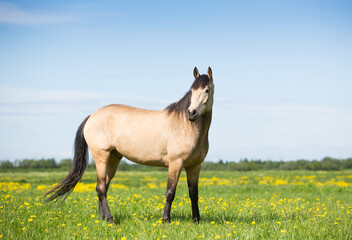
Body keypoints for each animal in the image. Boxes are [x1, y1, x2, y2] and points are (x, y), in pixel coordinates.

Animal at [44, 66, 214, 223]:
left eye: (207, 90)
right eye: (192, 90)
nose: (191, 113)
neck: (185, 126)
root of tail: (92, 116)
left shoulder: (194, 166)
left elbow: (194, 194)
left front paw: (196, 220)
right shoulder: (175, 163)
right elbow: (170, 192)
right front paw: (166, 220)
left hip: (113, 159)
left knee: (104, 186)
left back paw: (102, 218)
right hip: (101, 156)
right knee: (101, 188)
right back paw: (110, 219)